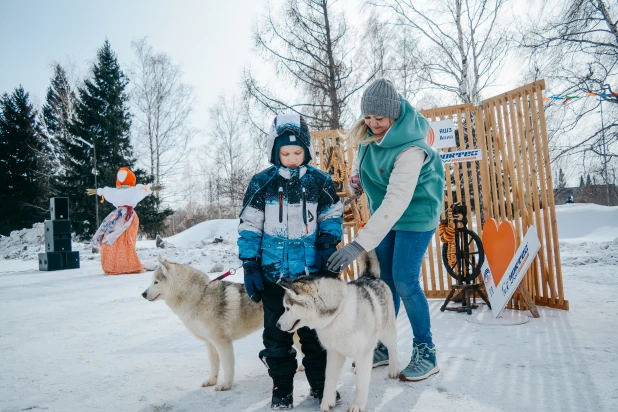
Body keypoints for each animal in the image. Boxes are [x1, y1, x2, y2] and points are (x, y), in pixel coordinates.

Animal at [141, 260, 262, 392]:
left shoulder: (222, 342)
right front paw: (211, 381)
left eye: (156, 282)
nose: (143, 294)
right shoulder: (209, 342)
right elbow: (214, 364)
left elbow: (227, 366)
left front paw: (226, 385)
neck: (200, 297)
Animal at [274, 251, 394, 412]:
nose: (277, 325)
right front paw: (327, 402)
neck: (337, 315)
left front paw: (358, 404)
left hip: (387, 331)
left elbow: (361, 384)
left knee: (393, 347)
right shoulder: (334, 353)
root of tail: (369, 276)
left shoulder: (363, 353)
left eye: (287, 308)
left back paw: (394, 369)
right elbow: (329, 379)